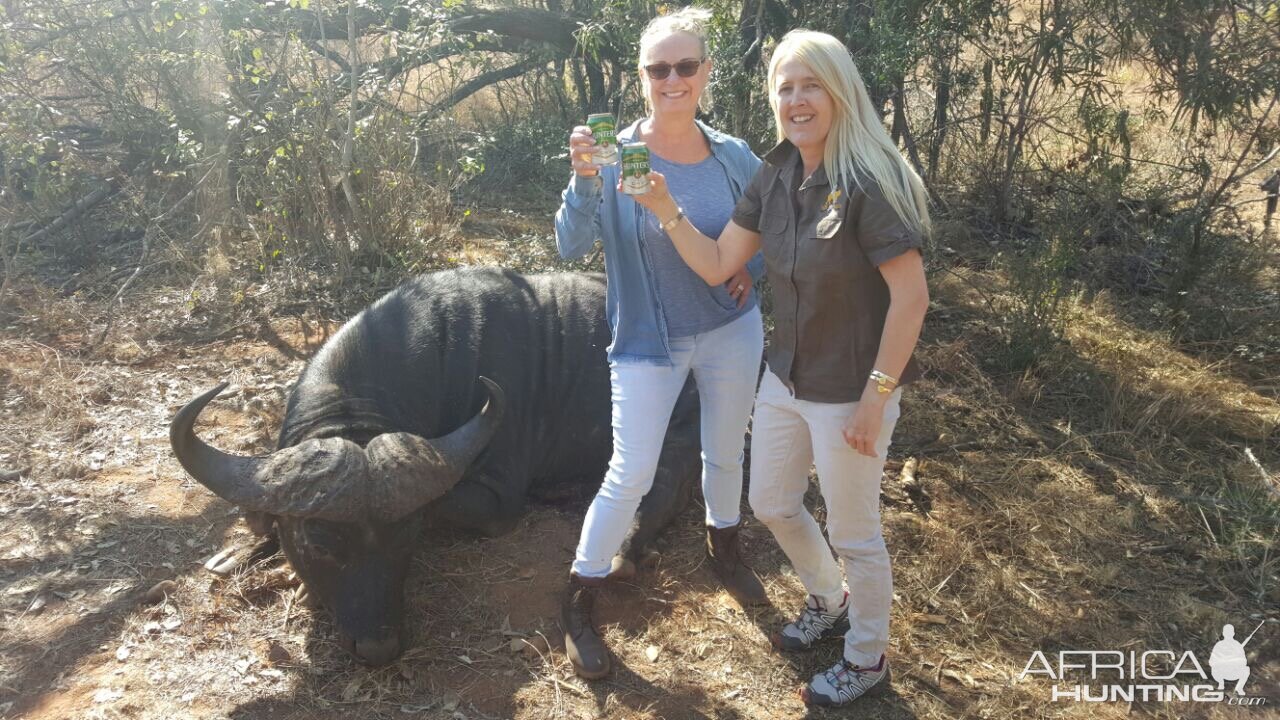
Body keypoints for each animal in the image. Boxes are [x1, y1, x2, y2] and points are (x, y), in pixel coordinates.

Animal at [170, 267, 701, 661]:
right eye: (318, 541)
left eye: (407, 535)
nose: (379, 647)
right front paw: (240, 552)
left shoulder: (497, 500)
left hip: (673, 438)